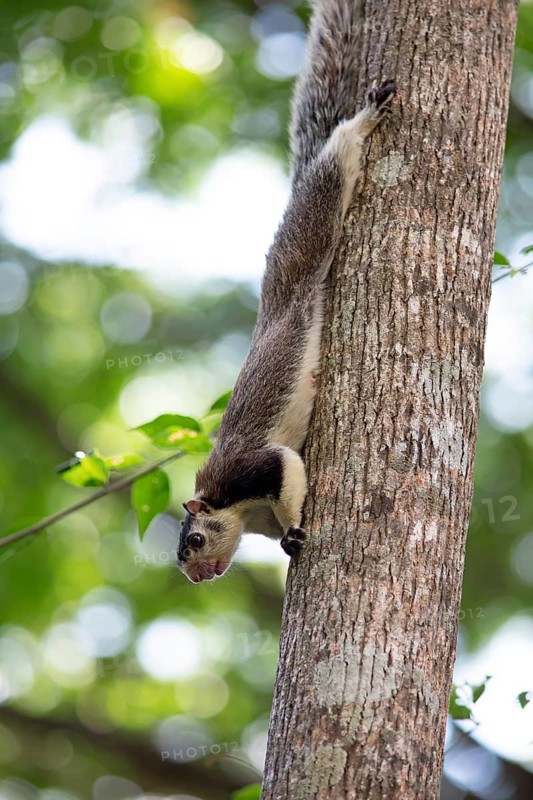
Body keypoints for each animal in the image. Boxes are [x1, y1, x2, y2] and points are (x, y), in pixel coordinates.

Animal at [178, 0, 396, 583]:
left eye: (194, 539)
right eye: (182, 556)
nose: (199, 575)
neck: (239, 512)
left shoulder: (246, 470)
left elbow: (284, 468)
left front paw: (296, 529)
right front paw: (284, 542)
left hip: (308, 237)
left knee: (333, 166)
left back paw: (363, 120)